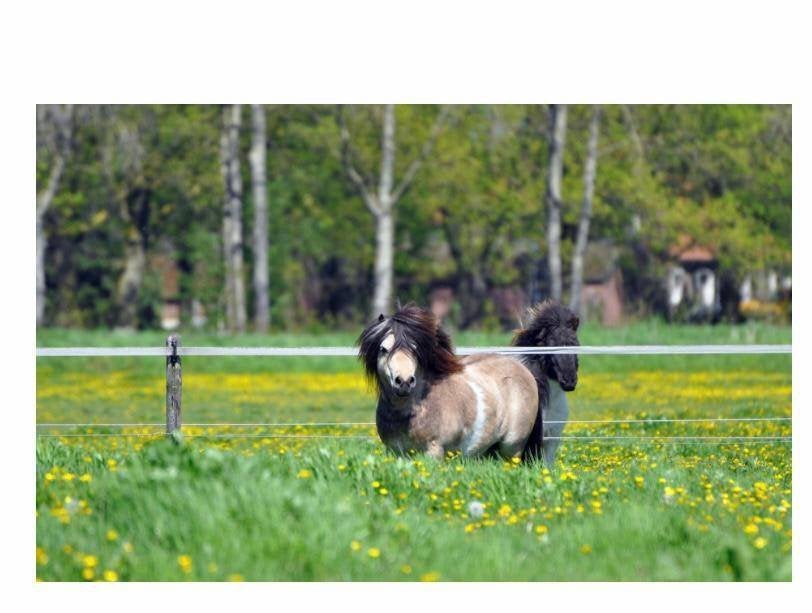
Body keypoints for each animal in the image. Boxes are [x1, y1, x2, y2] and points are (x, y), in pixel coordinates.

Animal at [357, 304, 539, 461]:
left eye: (415, 350)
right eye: (383, 349)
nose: (404, 382)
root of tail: (522, 366)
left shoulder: (434, 452)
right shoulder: (395, 452)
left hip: (512, 448)